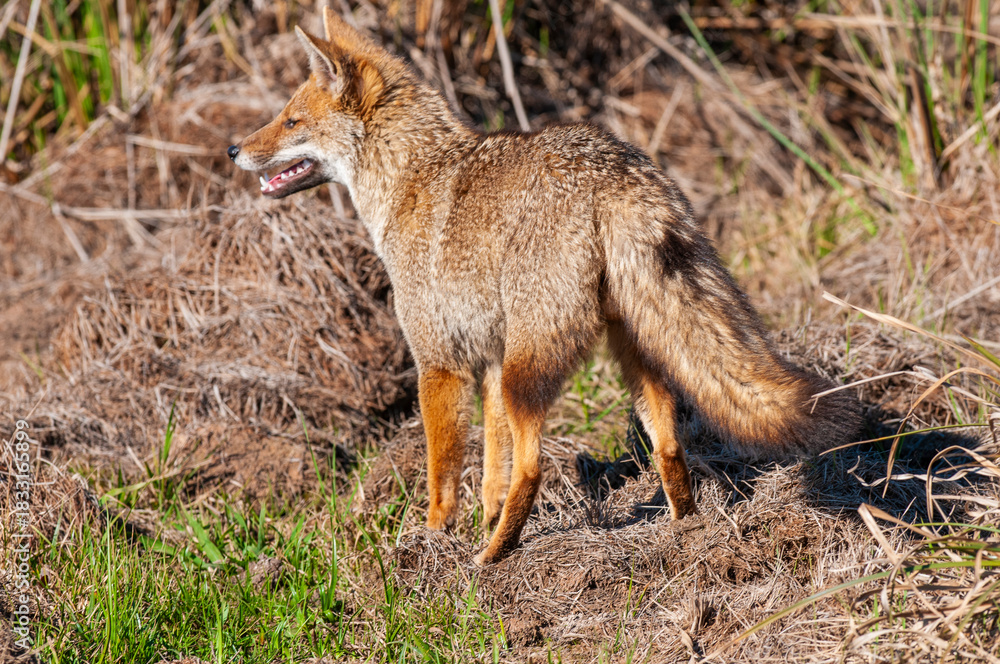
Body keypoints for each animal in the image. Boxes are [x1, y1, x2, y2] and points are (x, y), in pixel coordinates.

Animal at [228, 8, 862, 565]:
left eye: (290, 121)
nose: (234, 149)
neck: (411, 178)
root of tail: (617, 172)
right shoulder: (485, 361)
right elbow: (490, 470)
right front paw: (478, 521)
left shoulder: (440, 363)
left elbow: (444, 478)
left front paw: (429, 545)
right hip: (623, 355)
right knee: (666, 446)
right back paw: (684, 535)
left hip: (527, 372)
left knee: (534, 467)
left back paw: (492, 558)